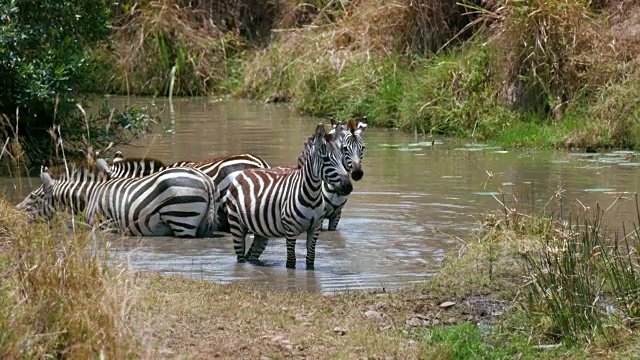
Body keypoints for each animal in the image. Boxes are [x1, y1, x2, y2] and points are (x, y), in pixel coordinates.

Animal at [16, 162, 221, 238]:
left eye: (33, 197)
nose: (14, 213)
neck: (89, 198)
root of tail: (204, 179)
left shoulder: (103, 226)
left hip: (182, 217)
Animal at [225, 124, 352, 268]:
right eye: (326, 159)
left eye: (342, 158)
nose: (348, 186)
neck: (312, 197)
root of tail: (243, 172)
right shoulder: (291, 231)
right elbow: (291, 262)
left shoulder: (315, 229)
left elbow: (310, 260)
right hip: (236, 223)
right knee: (240, 257)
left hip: (261, 231)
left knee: (252, 255)